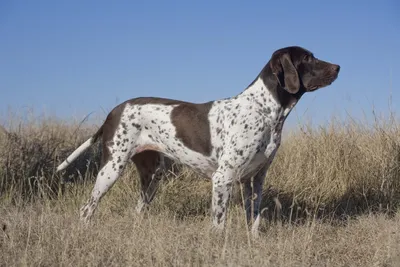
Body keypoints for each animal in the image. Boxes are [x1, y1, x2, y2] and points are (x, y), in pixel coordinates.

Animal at [57, 47, 340, 236]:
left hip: (152, 175)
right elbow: (219, 222)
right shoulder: (223, 178)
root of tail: (114, 111)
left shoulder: (255, 179)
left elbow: (254, 218)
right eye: (308, 58)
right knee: (87, 209)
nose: (338, 67)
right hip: (112, 168)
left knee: (138, 209)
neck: (264, 109)